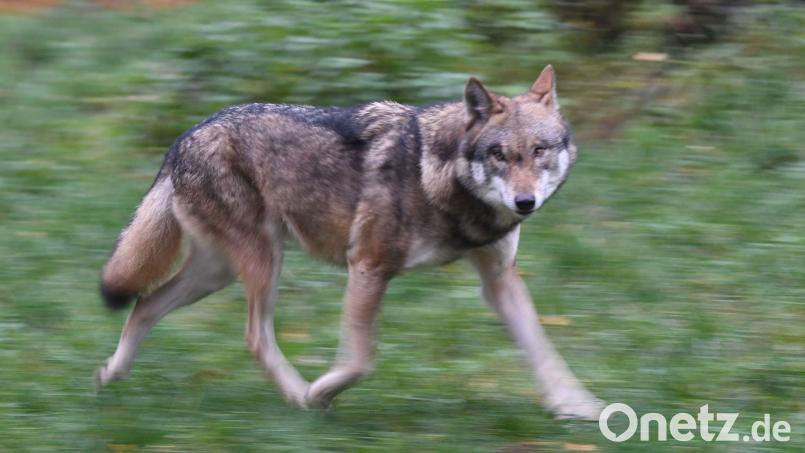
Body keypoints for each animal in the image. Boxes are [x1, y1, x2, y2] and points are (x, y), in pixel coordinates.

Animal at [96, 65, 603, 420]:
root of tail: (184, 137)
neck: (439, 178)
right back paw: (298, 396)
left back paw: (111, 375)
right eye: (499, 154)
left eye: (539, 150)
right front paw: (319, 392)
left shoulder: (499, 280)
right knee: (253, 337)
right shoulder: (369, 266)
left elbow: (543, 350)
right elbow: (360, 360)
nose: (524, 202)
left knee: (145, 304)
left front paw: (579, 408)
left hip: (216, 272)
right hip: (262, 262)